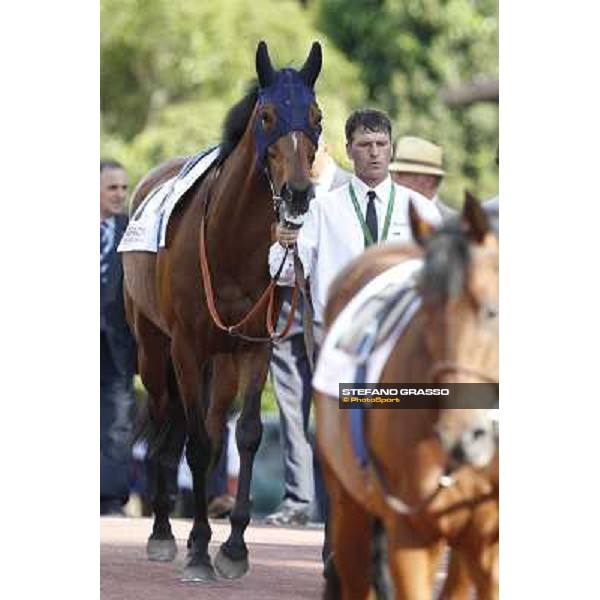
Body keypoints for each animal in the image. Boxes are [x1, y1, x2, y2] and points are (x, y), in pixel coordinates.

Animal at [121, 41, 324, 580]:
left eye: (316, 117)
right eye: (268, 115)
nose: (298, 193)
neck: (228, 242)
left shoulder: (255, 348)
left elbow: (247, 436)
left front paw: (232, 547)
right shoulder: (188, 348)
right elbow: (194, 443)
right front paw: (195, 550)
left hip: (224, 360)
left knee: (213, 429)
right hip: (154, 350)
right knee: (167, 425)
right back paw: (164, 531)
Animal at [316, 195, 500, 596]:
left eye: (491, 311)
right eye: (424, 308)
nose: (461, 435)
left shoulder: (487, 541)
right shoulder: (411, 533)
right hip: (349, 507)